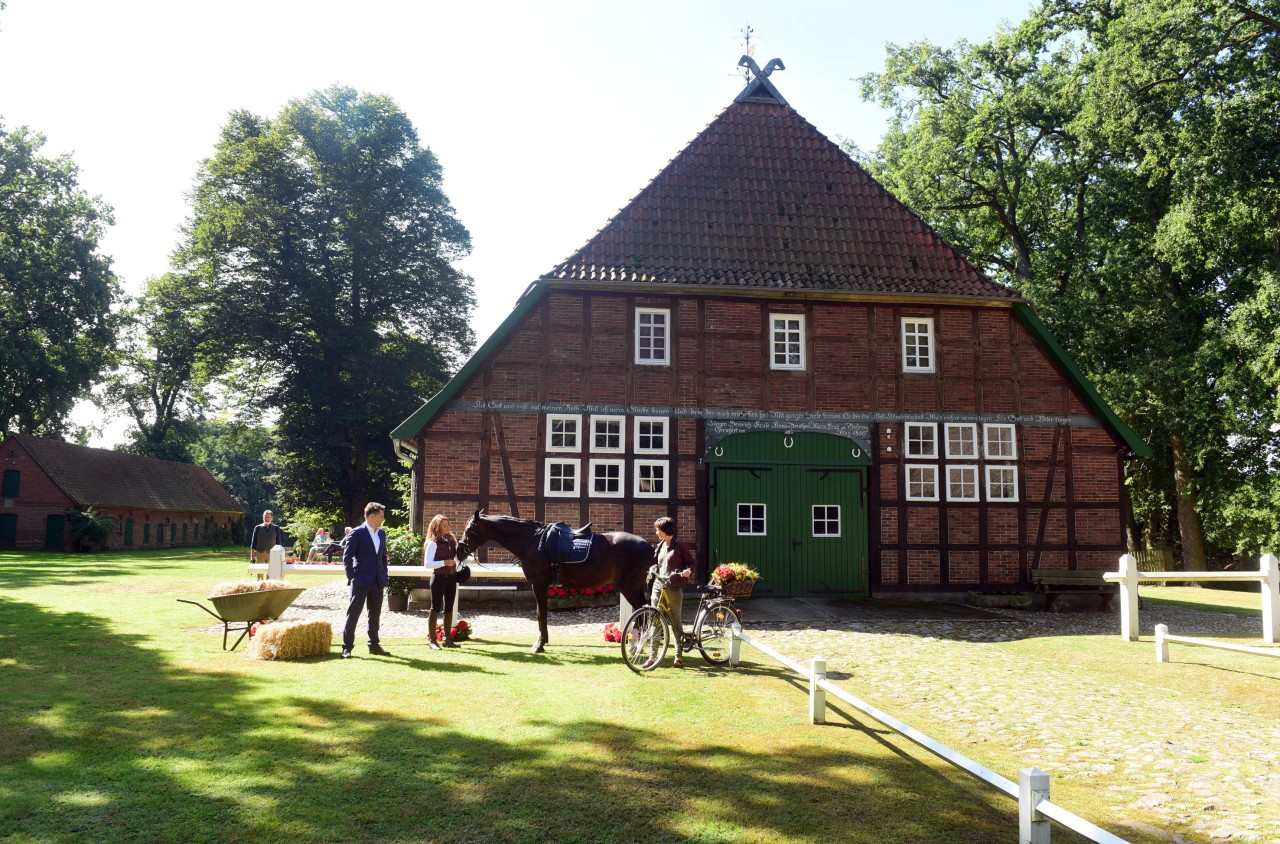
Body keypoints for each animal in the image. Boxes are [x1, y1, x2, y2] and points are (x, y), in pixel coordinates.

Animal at [458, 509, 650, 653]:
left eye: (470, 530)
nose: (460, 551)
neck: (534, 541)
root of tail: (648, 546)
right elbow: (540, 613)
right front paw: (543, 641)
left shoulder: (538, 585)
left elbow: (541, 613)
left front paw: (539, 644)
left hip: (629, 588)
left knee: (644, 614)